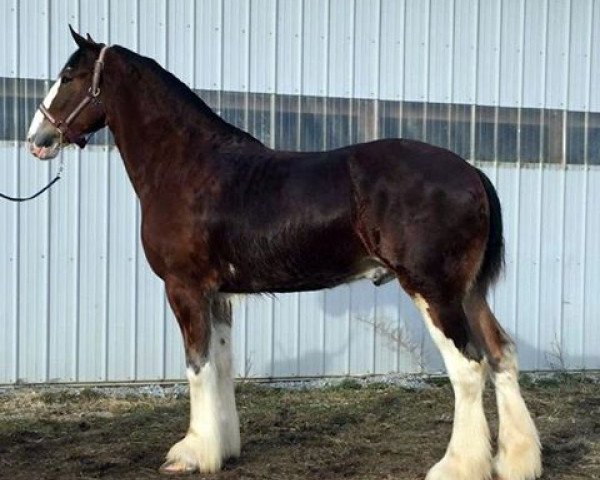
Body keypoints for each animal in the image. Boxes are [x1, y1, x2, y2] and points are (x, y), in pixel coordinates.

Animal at [25, 27, 540, 480]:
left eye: (69, 75)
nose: (37, 139)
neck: (188, 165)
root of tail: (471, 172)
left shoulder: (184, 288)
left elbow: (197, 367)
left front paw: (191, 454)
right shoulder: (218, 295)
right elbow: (221, 365)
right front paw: (223, 448)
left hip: (434, 291)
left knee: (469, 369)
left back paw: (456, 466)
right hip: (468, 293)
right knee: (501, 356)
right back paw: (516, 462)